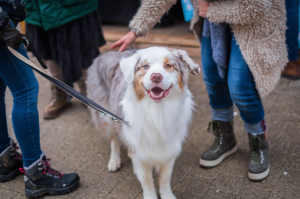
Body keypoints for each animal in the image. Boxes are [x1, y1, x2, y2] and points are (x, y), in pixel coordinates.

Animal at [85, 47, 200, 199]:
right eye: (145, 66)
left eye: (168, 65)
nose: (156, 77)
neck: (157, 111)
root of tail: (106, 53)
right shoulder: (138, 152)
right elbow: (147, 180)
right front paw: (151, 195)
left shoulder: (170, 148)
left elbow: (165, 178)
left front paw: (167, 195)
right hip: (106, 116)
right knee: (114, 139)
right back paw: (114, 161)